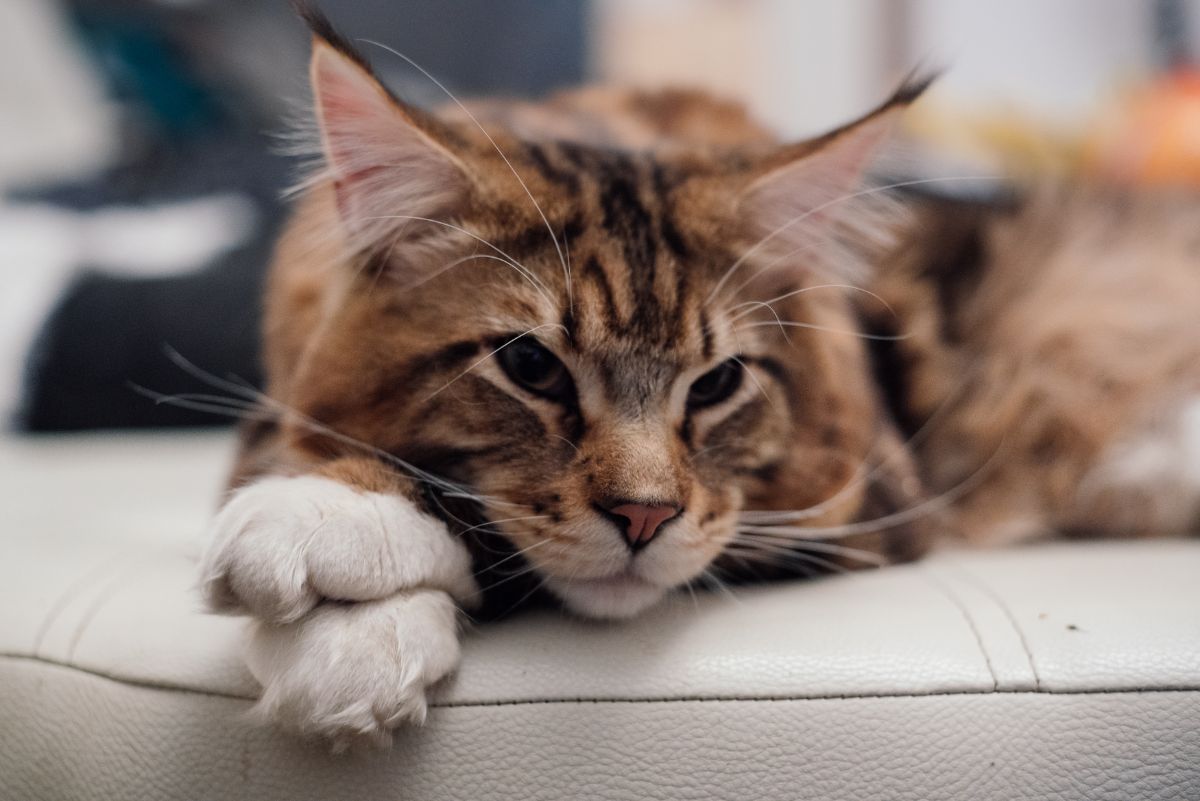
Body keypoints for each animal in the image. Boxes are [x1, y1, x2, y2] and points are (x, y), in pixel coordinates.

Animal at [196, 4, 1200, 753]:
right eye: (530, 365)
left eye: (717, 383)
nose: (644, 518)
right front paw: (350, 623)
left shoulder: (861, 501)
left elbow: (485, 529)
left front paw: (333, 595)